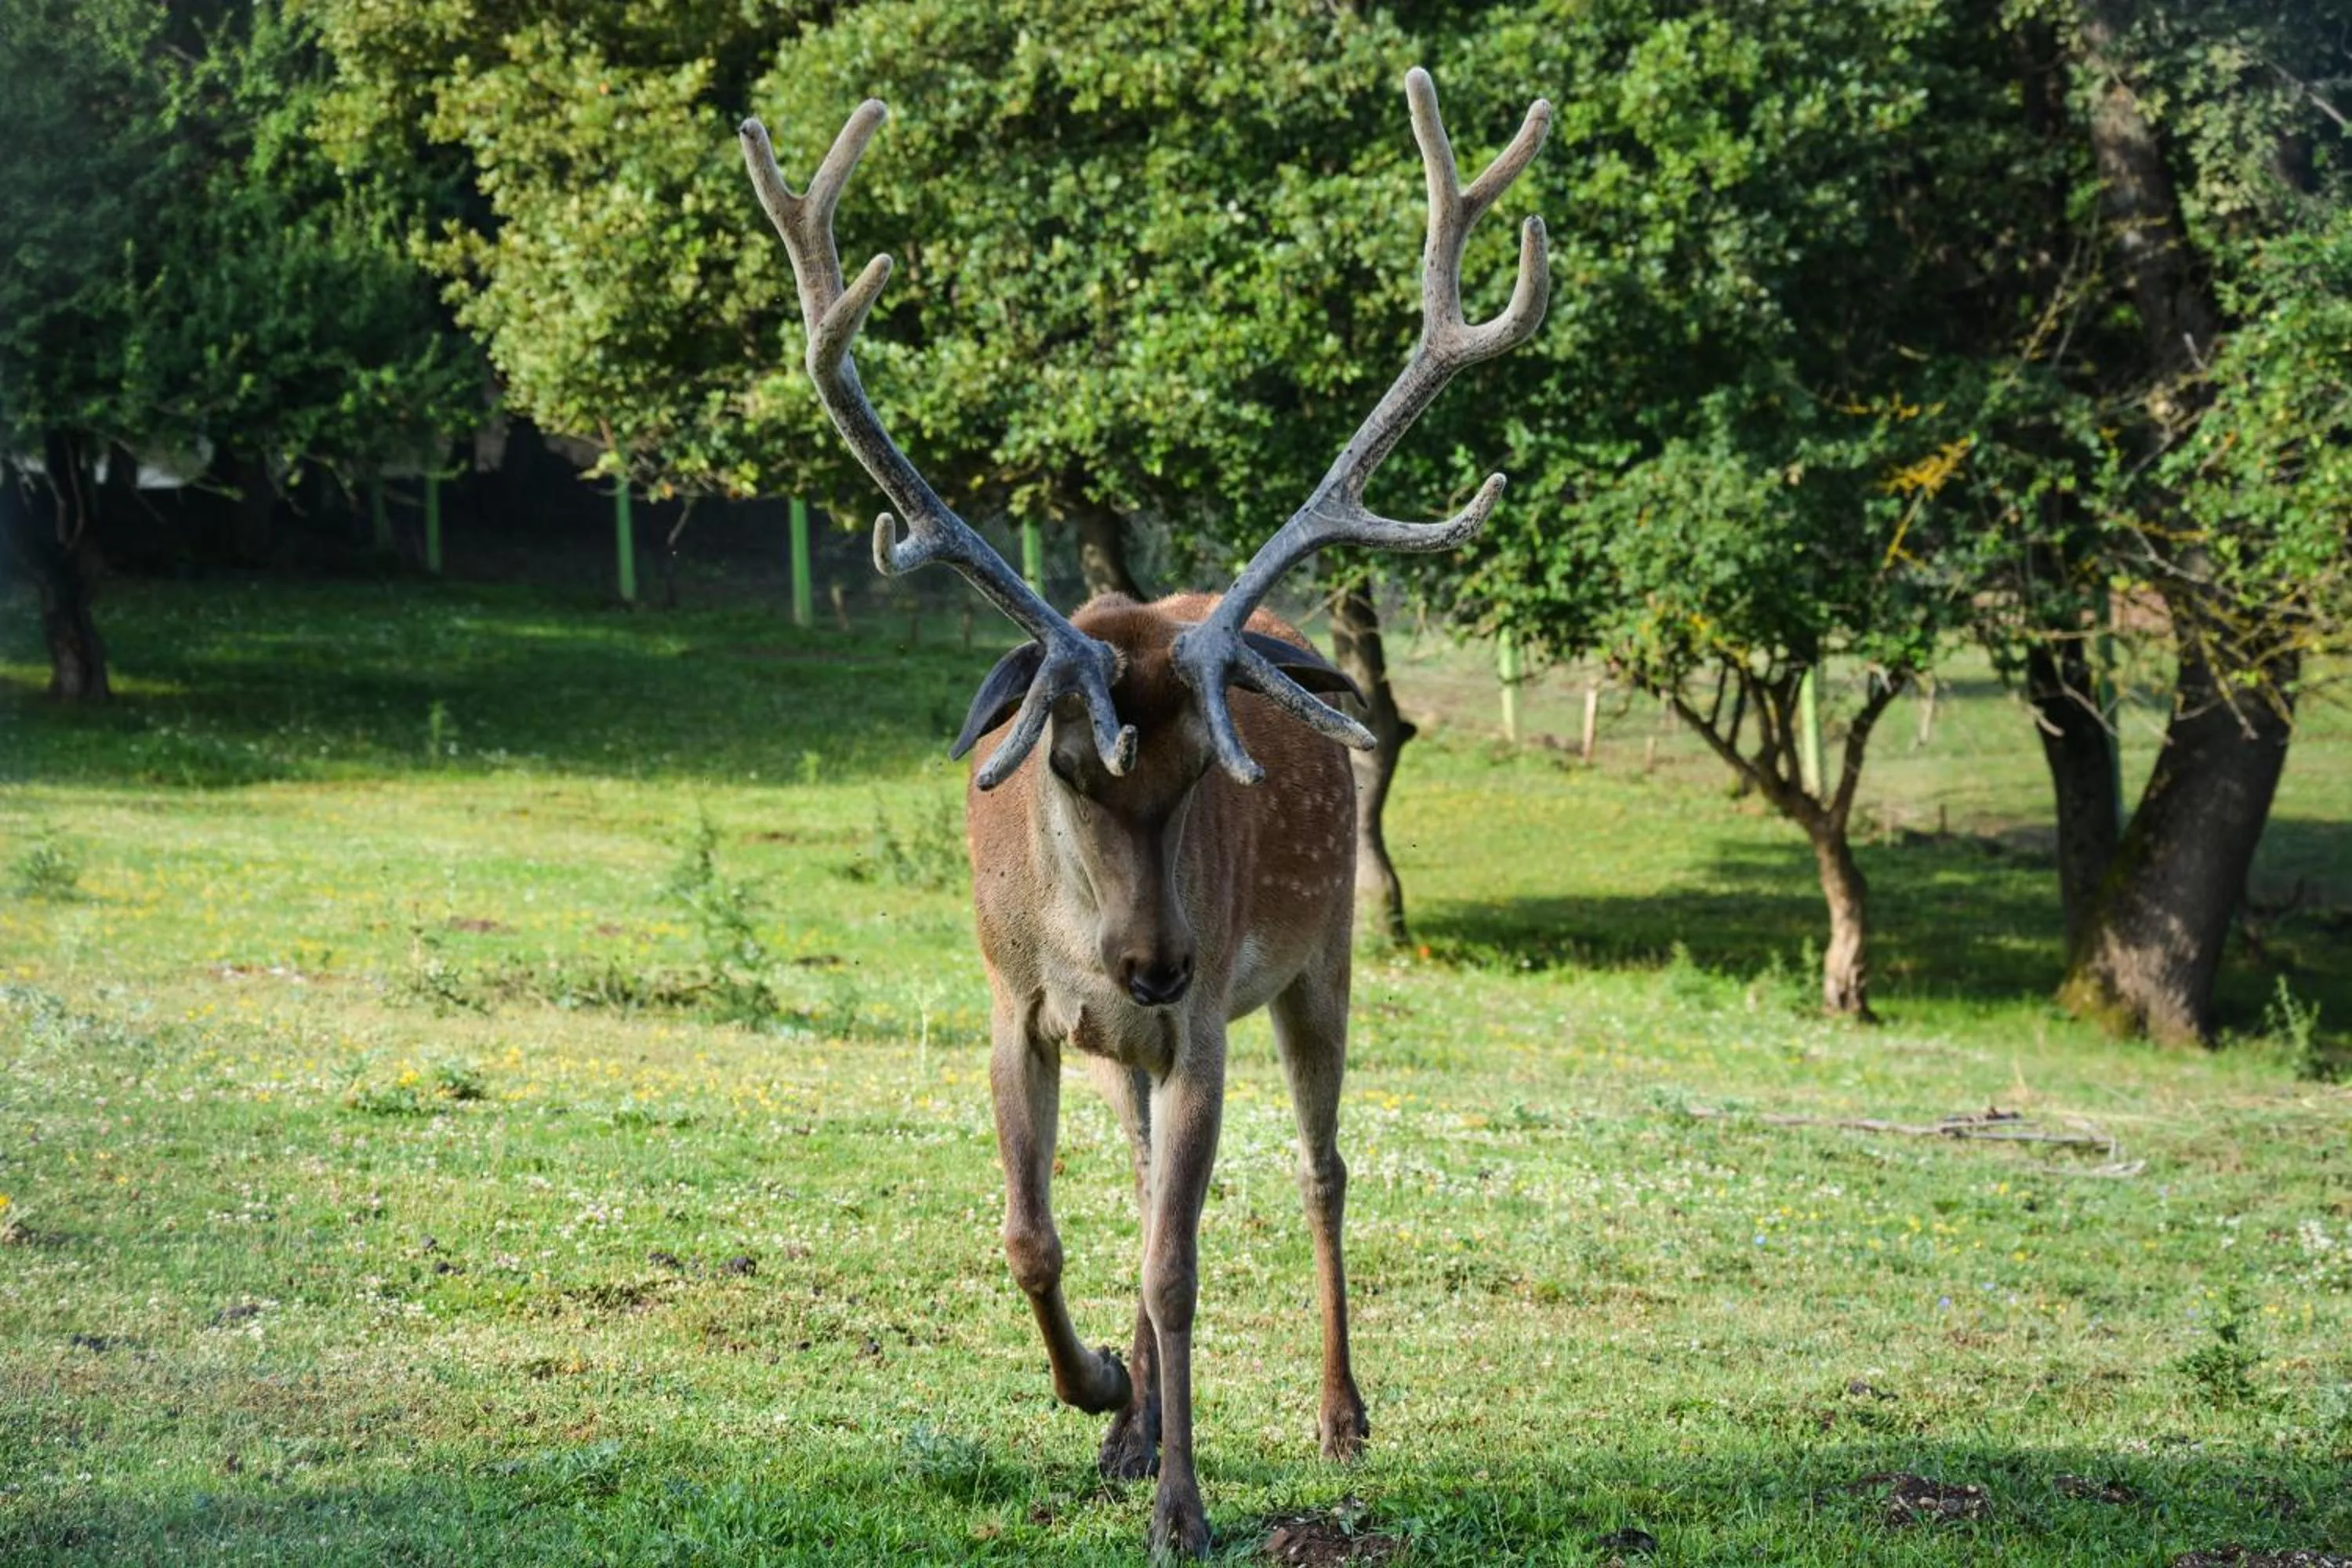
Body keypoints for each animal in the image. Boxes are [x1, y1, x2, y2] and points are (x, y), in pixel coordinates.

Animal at [741, 67, 1550, 1558]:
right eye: (1068, 766)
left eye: (1210, 777)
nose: (1157, 962)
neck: (1082, 933)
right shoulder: (1015, 1003)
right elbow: (1034, 1233)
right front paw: (1107, 1397)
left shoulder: (1204, 1031)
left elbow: (1179, 1262)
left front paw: (1184, 1502)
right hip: (1140, 1038)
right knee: (1133, 1181)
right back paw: (1131, 1427)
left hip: (1319, 959)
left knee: (1323, 1169)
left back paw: (1338, 1414)